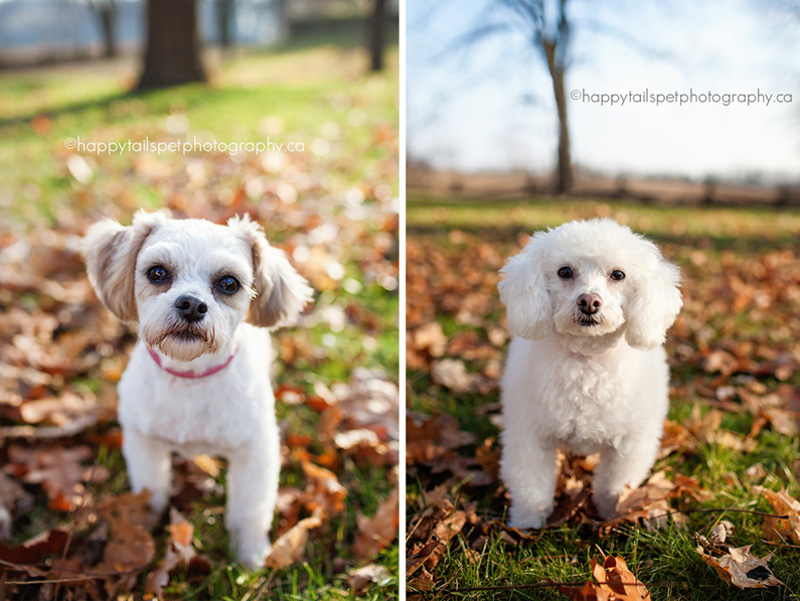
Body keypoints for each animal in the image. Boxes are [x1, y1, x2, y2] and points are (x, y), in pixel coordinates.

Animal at [83, 211, 312, 568]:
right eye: (157, 272)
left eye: (229, 283)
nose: (191, 304)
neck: (189, 378)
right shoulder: (144, 443)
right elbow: (152, 490)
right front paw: (142, 528)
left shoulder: (255, 453)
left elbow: (249, 510)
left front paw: (250, 556)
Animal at [500, 218, 680, 528]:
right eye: (564, 272)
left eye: (618, 275)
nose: (588, 301)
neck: (587, 359)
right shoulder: (529, 438)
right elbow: (532, 488)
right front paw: (526, 527)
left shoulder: (630, 445)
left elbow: (614, 486)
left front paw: (613, 515)